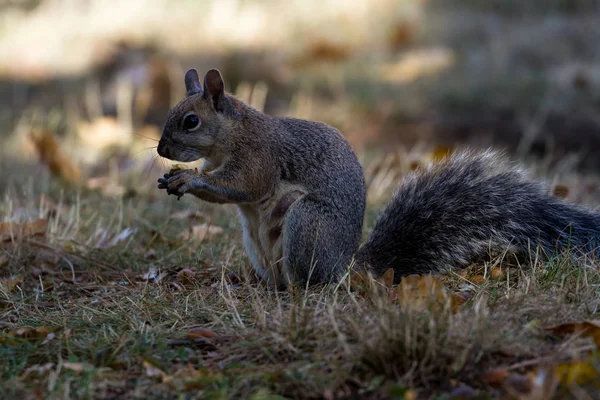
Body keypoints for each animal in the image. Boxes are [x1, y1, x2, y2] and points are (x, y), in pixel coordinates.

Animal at [156, 69, 600, 288]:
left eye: (191, 121)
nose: (161, 150)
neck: (234, 133)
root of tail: (346, 267)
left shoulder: (260, 157)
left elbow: (244, 187)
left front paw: (188, 180)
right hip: (257, 243)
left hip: (306, 223)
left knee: (314, 284)